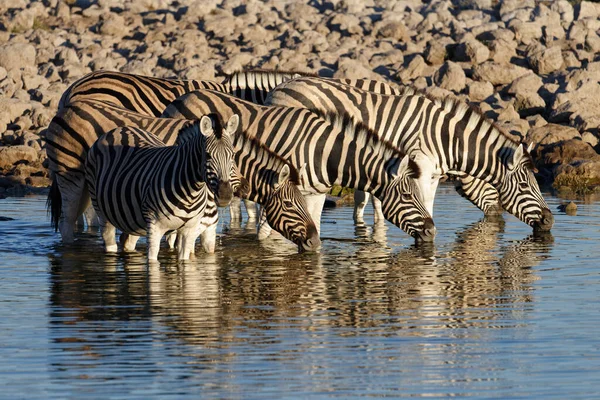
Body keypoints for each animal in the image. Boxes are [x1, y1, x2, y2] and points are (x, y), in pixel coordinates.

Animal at [85, 115, 233, 260]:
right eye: (207, 155)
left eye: (232, 155)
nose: (225, 195)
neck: (191, 192)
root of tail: (118, 129)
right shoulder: (155, 227)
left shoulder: (191, 231)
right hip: (102, 210)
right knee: (110, 242)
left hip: (134, 220)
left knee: (127, 241)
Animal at [162, 89, 438, 242]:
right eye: (407, 196)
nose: (433, 232)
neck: (325, 153)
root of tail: (181, 97)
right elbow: (268, 235)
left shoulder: (316, 194)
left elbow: (313, 224)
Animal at [268, 76, 552, 231]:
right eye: (525, 186)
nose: (550, 221)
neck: (446, 139)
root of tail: (279, 87)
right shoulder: (420, 169)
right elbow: (419, 204)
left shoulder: (433, 176)